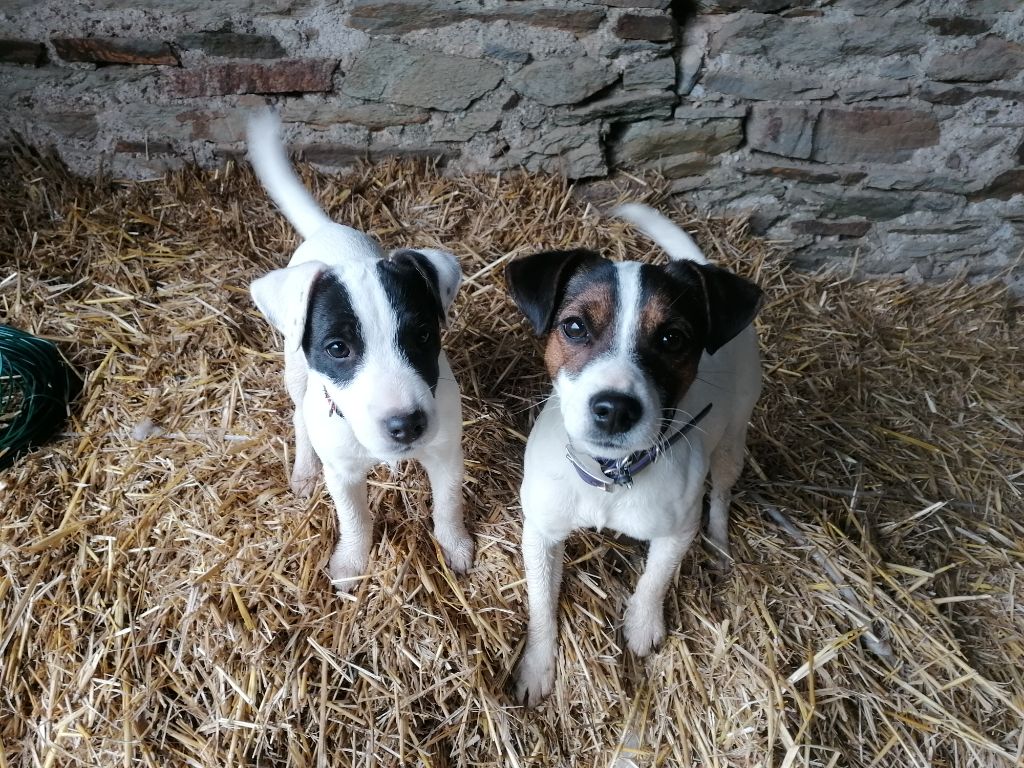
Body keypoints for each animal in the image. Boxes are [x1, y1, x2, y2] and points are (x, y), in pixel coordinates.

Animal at [245, 114, 473, 593]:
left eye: (423, 335)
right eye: (338, 348)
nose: (406, 425)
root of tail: (327, 231)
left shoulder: (445, 452)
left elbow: (447, 504)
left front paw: (455, 546)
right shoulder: (343, 472)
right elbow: (355, 519)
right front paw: (351, 563)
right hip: (296, 373)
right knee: (299, 412)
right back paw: (304, 469)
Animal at [503, 202, 761, 704]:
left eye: (673, 339)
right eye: (575, 327)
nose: (615, 408)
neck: (609, 475)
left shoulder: (678, 530)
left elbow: (655, 579)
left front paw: (642, 625)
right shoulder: (541, 533)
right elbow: (541, 604)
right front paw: (537, 665)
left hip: (732, 443)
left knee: (721, 496)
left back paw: (719, 545)